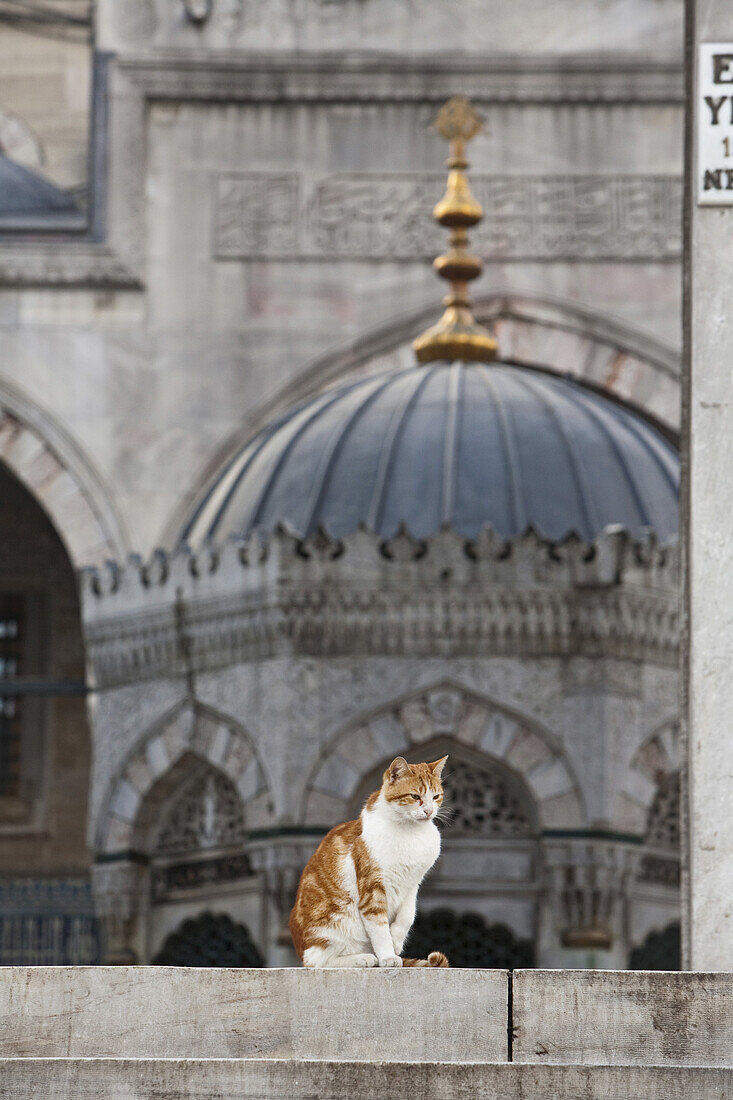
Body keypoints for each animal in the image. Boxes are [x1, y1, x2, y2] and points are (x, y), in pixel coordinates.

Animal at [288, 752, 449, 968]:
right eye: (415, 797)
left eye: (436, 796)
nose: (429, 811)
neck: (411, 832)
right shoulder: (372, 890)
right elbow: (380, 929)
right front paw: (388, 956)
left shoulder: (412, 884)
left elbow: (408, 915)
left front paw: (396, 940)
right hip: (332, 926)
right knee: (317, 961)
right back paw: (363, 958)